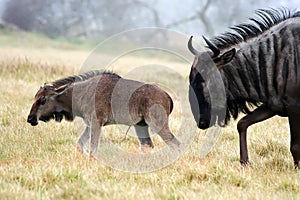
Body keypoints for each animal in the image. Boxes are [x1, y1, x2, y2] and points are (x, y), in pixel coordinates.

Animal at [27, 71, 179, 157]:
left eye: (43, 99)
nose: (30, 118)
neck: (82, 92)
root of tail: (166, 96)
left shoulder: (96, 123)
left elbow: (93, 148)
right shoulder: (89, 125)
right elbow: (80, 145)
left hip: (157, 125)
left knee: (175, 143)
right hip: (141, 126)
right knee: (147, 145)